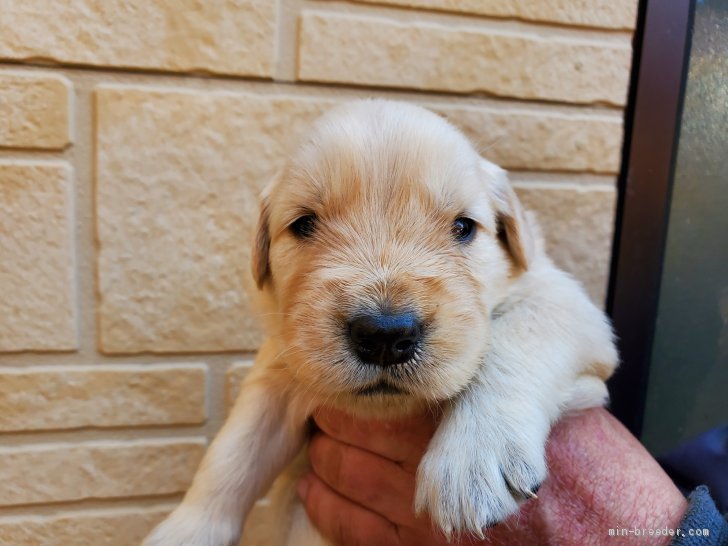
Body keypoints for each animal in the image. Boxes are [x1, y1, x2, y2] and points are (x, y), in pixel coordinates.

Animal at [144, 99, 620, 544]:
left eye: (463, 227)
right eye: (305, 224)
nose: (385, 336)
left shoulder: (565, 301)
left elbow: (520, 336)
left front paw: (471, 458)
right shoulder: (283, 361)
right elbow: (236, 447)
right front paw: (186, 530)